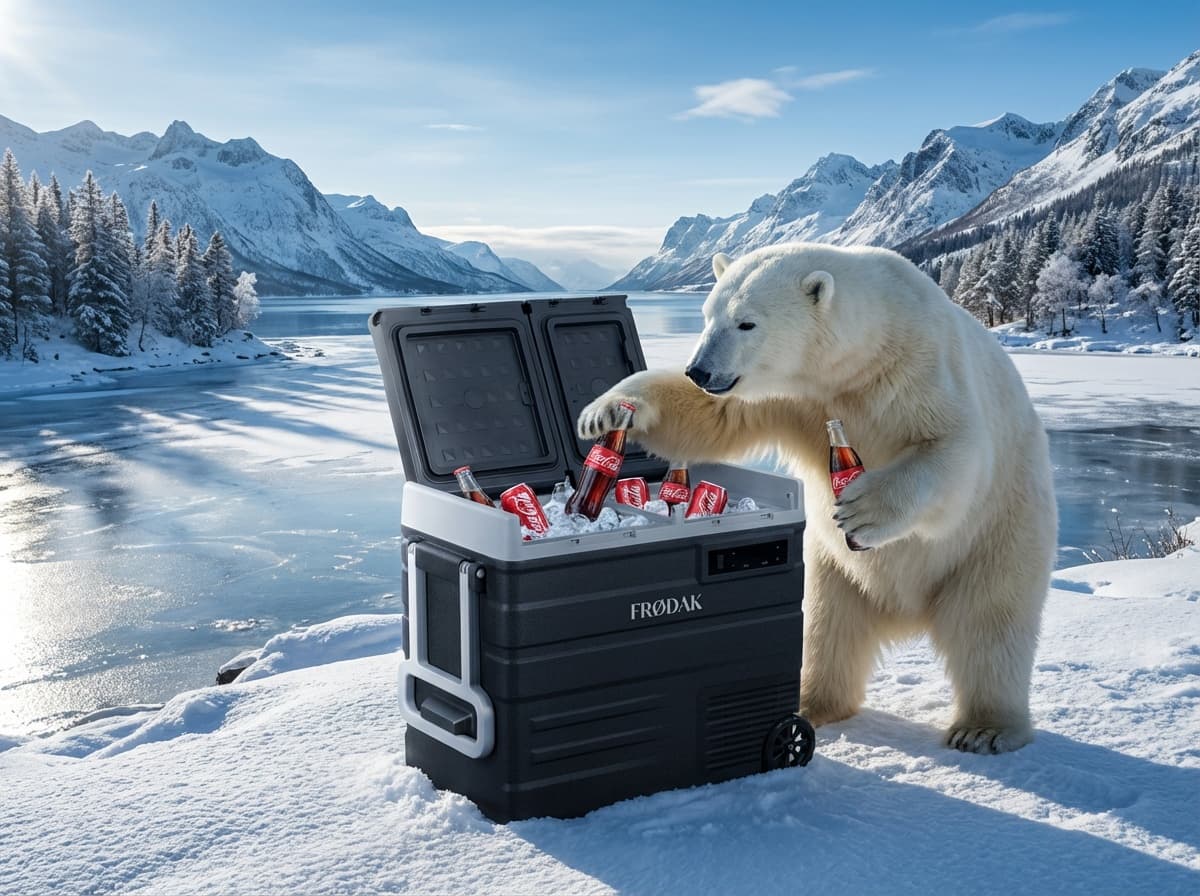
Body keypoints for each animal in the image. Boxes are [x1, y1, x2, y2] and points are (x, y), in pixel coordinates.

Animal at [578, 242, 1056, 754]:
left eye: (746, 323)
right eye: (708, 316)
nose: (700, 370)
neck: (865, 356)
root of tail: (906, 611)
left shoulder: (921, 370)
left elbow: (956, 452)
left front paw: (863, 509)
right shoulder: (793, 397)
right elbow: (713, 417)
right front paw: (605, 411)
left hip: (1001, 533)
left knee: (990, 625)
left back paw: (984, 727)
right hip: (834, 570)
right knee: (828, 628)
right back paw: (812, 700)